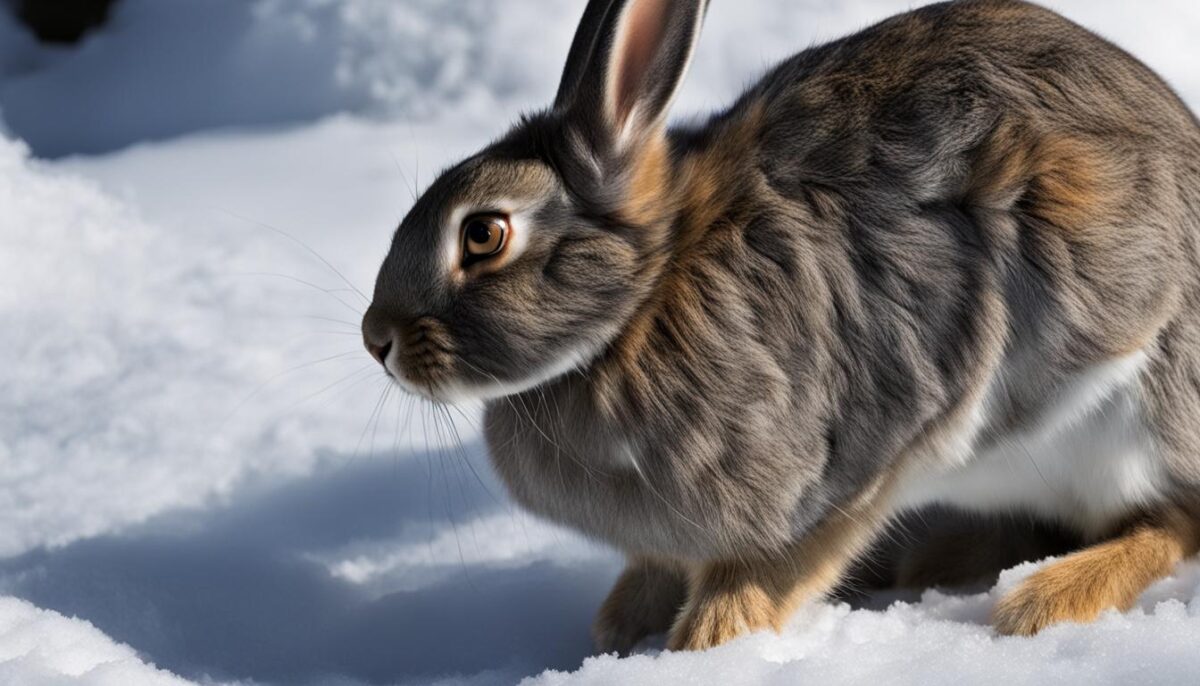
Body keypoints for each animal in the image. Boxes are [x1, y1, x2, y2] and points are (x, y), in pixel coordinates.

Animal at [362, 0, 1200, 652]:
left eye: (485, 234)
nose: (377, 340)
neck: (648, 296)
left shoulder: (860, 455)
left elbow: (776, 570)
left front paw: (706, 641)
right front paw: (623, 626)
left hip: (1137, 413)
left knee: (1174, 520)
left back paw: (1042, 599)